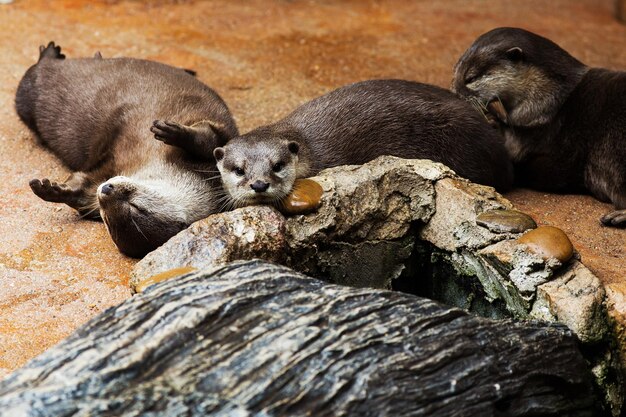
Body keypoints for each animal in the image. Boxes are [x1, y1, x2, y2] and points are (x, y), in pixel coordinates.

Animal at [15, 43, 239, 256]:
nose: (106, 189)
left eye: (135, 209)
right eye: (106, 219)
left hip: (26, 93)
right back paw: (53, 52)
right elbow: (210, 139)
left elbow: (84, 185)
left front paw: (52, 190)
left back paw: (49, 56)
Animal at [450, 27, 624, 228]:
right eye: (454, 72)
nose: (453, 93)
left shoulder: (541, 131)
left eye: (470, 78)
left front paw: (492, 120)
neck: (551, 102)